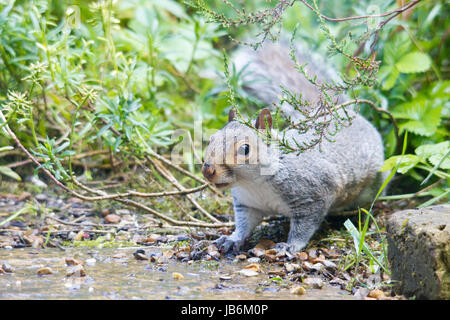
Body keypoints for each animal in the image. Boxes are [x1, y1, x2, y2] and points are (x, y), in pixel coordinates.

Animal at [202, 41, 384, 254]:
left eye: (245, 149)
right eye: (210, 140)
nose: (208, 170)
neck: (254, 183)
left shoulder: (313, 197)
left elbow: (304, 227)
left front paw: (290, 246)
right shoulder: (247, 205)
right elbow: (244, 225)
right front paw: (232, 239)